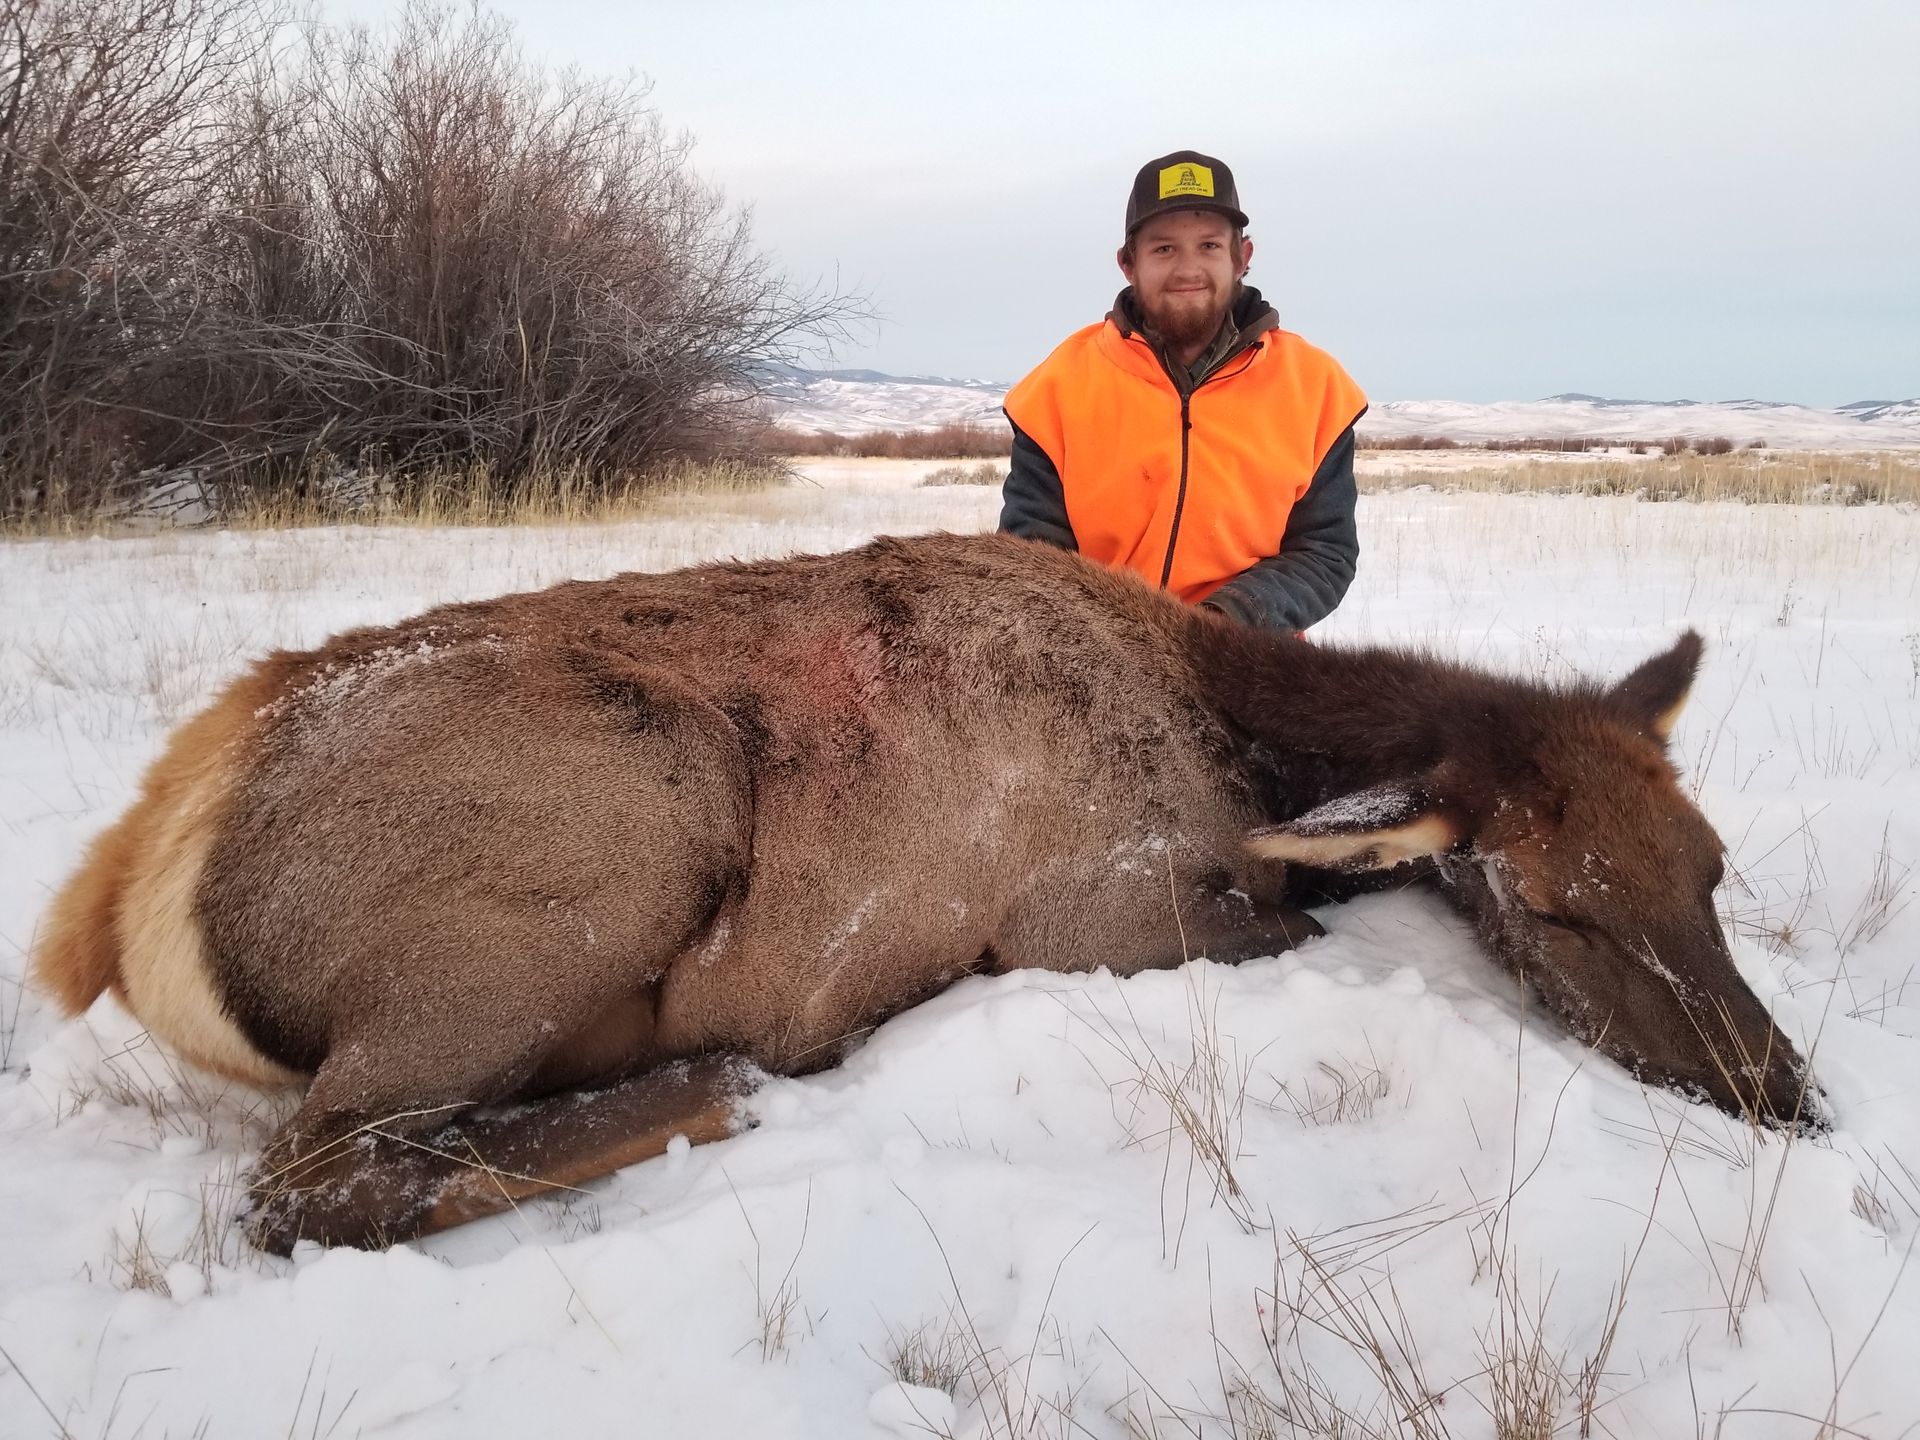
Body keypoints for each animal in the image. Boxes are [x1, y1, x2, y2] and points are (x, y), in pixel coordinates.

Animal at [32, 531, 1822, 1253]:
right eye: (1555, 903)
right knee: (307, 1180)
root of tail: (125, 891)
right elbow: (1301, 919)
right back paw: (717, 1080)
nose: (1783, 1092)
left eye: (1714, 870)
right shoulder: (1087, 912)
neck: (1230, 745)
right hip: (586, 861)